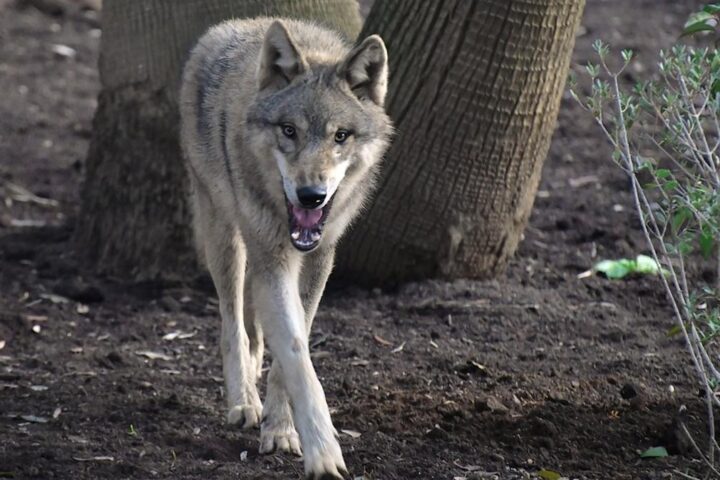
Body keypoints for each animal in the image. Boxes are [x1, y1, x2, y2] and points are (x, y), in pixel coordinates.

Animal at [179, 17, 392, 479]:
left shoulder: (318, 261)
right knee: (232, 325)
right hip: (225, 237)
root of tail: (238, 24)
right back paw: (243, 402)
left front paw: (280, 429)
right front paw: (323, 454)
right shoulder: (272, 260)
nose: (311, 196)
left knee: (254, 329)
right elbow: (295, 353)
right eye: (289, 130)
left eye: (341, 136)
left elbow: (295, 345)